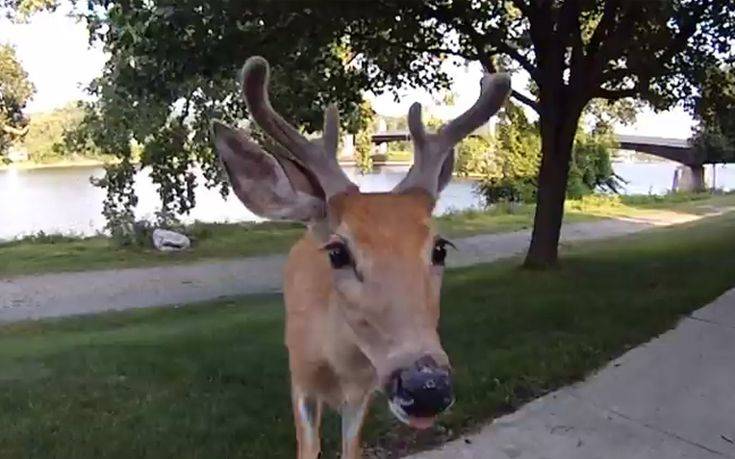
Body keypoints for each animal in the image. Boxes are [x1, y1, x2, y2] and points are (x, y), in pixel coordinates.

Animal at [213, 55, 512, 458]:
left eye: (439, 248)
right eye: (337, 252)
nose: (426, 387)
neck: (339, 366)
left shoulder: (364, 390)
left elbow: (350, 448)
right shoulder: (300, 380)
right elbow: (307, 447)